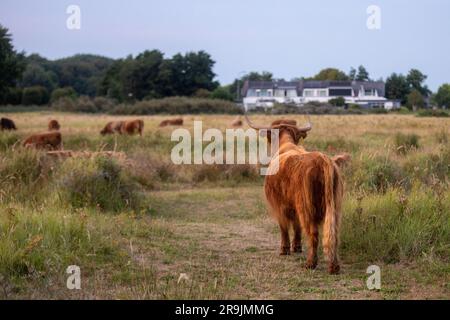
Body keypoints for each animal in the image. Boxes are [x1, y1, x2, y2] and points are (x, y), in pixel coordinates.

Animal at [246, 115, 348, 276]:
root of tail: (323, 159)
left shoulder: (279, 205)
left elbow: (284, 227)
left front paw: (285, 249)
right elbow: (297, 226)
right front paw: (297, 247)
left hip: (306, 206)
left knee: (313, 233)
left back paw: (310, 263)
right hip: (335, 206)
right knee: (333, 233)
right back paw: (334, 266)